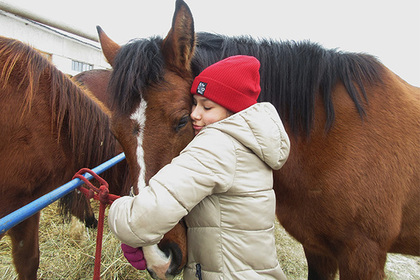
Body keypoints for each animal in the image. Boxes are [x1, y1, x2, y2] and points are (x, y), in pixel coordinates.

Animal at [97, 0, 420, 280]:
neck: (327, 139)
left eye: (182, 120)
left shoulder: (363, 255)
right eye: (115, 132)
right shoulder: (317, 250)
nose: (157, 256)